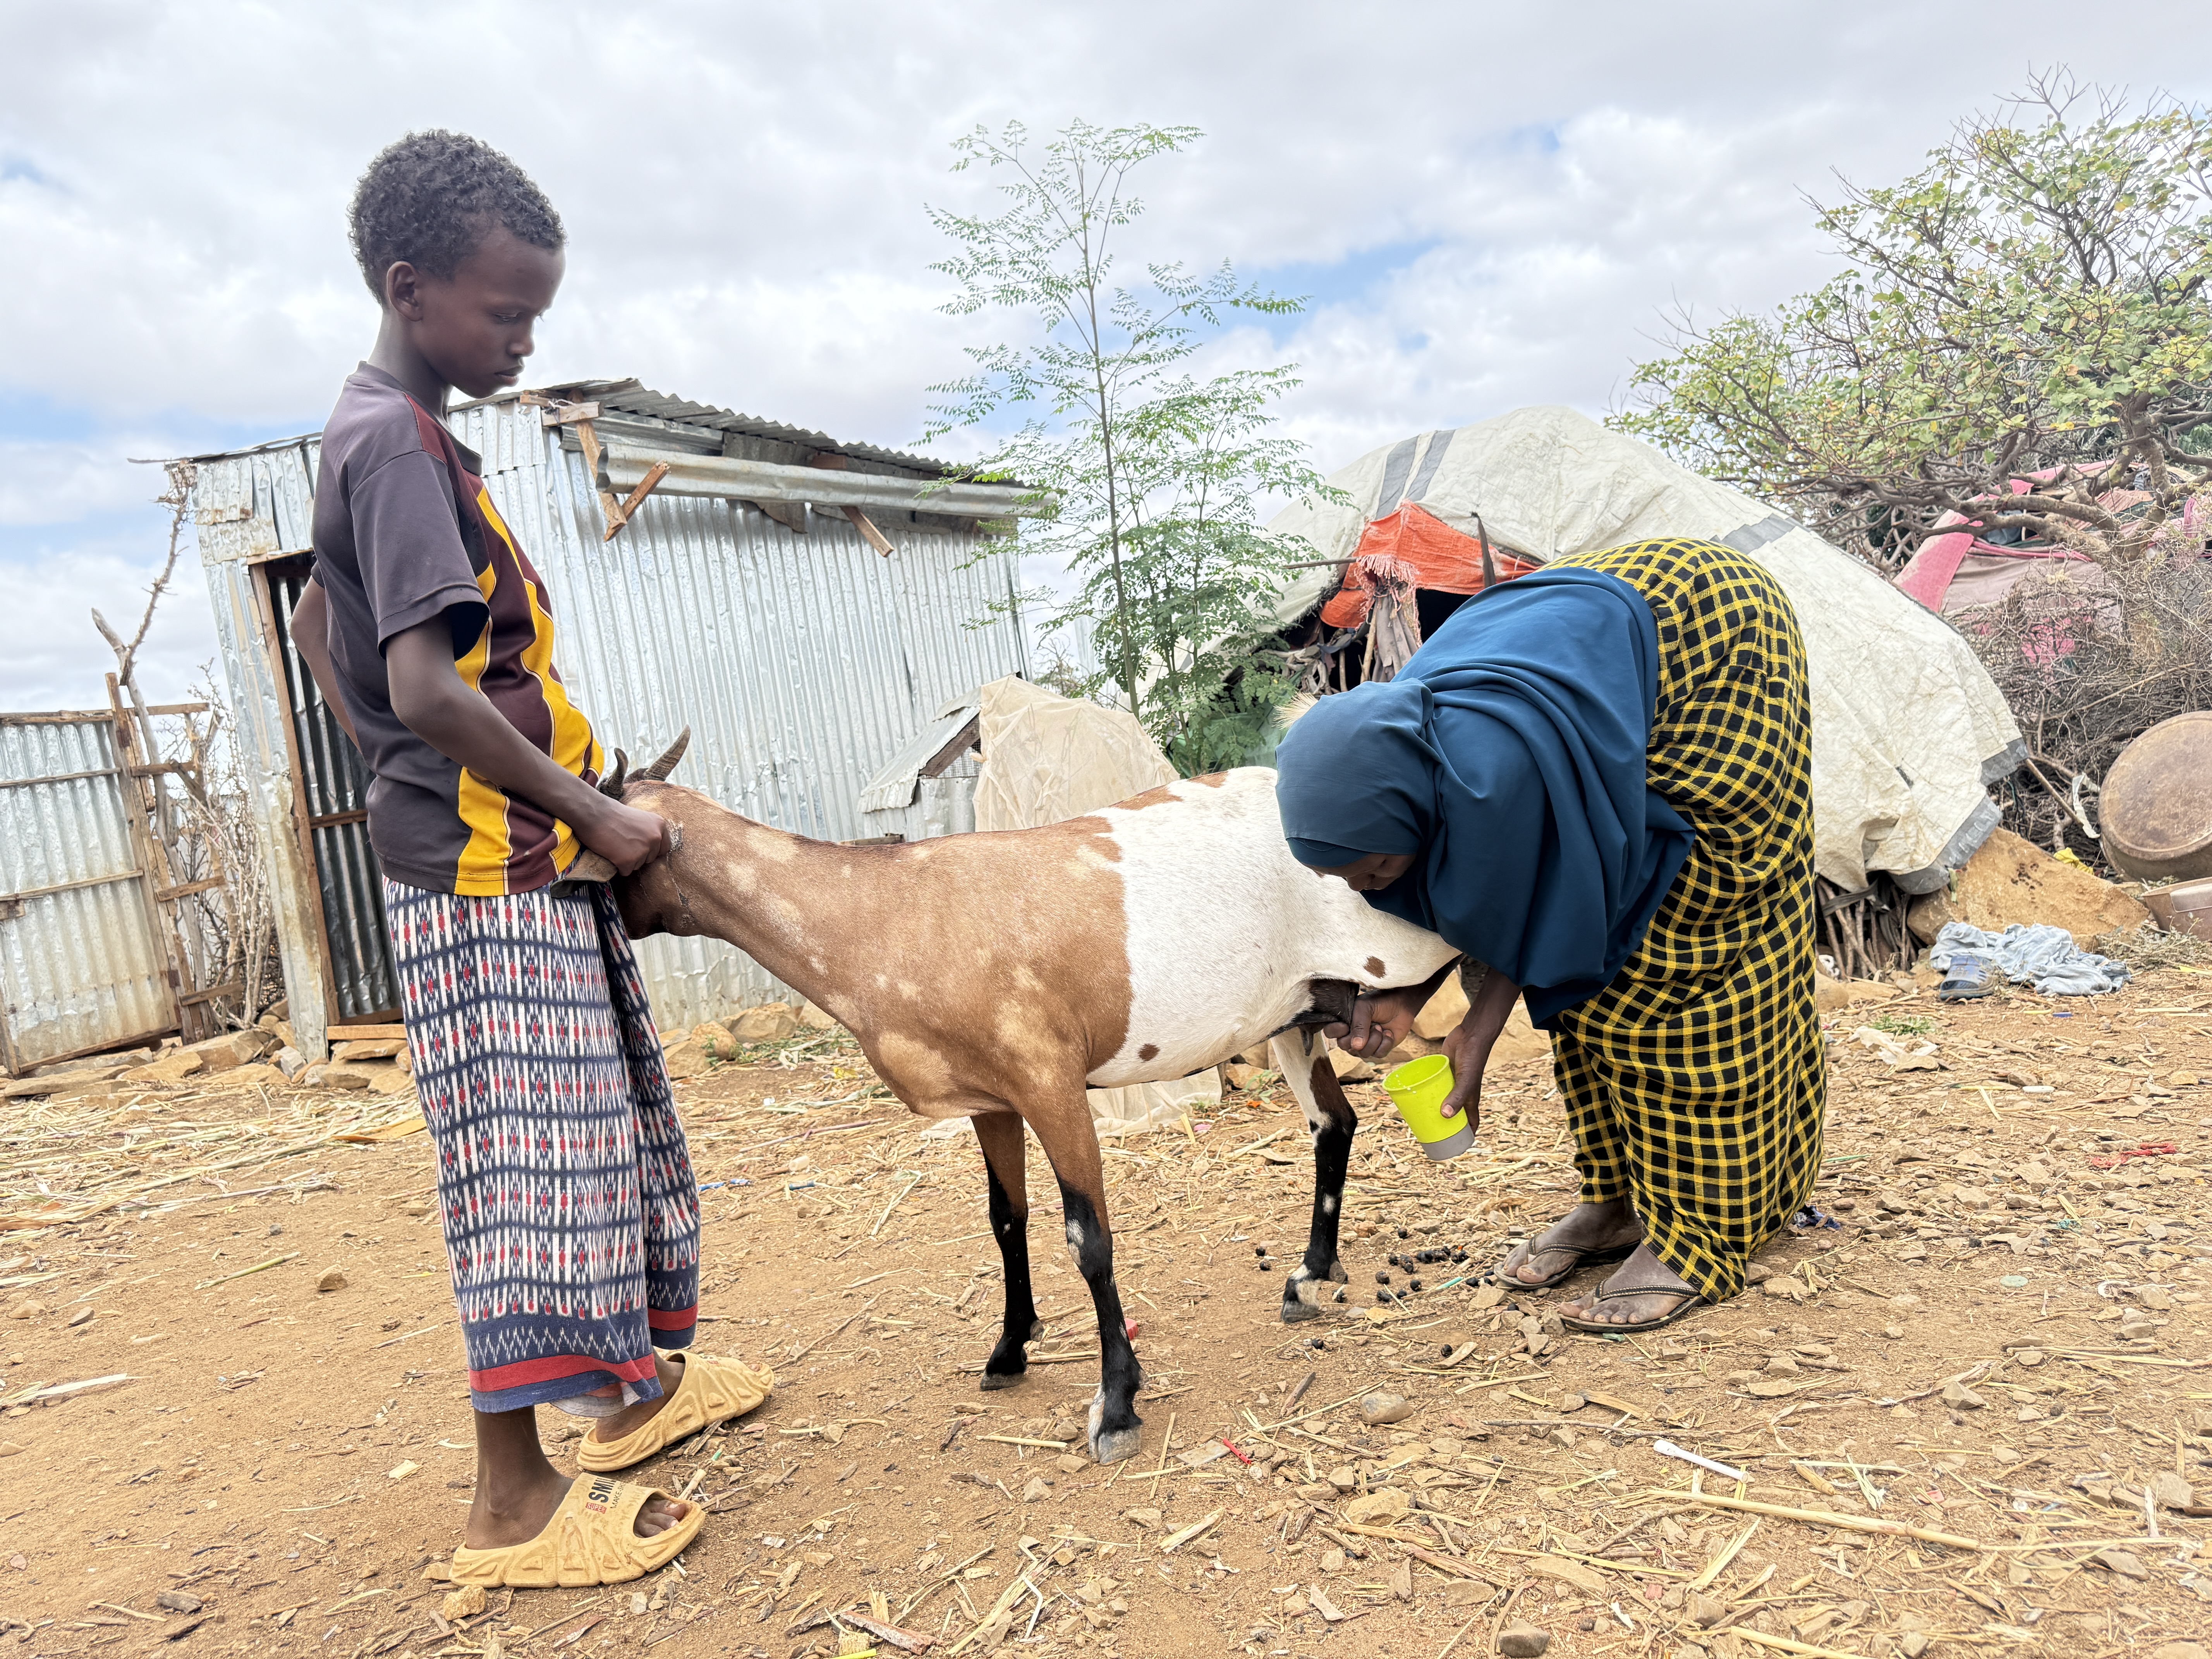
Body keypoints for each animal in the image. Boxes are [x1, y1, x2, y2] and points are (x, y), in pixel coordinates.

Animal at [604, 735, 1457, 1463]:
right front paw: (1010, 1349)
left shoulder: (1051, 1083)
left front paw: (1117, 1407)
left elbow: (1088, 1240)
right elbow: (1005, 1220)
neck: (887, 917)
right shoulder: (992, 1098)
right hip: (1300, 1008)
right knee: (1333, 1122)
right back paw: (1310, 1276)